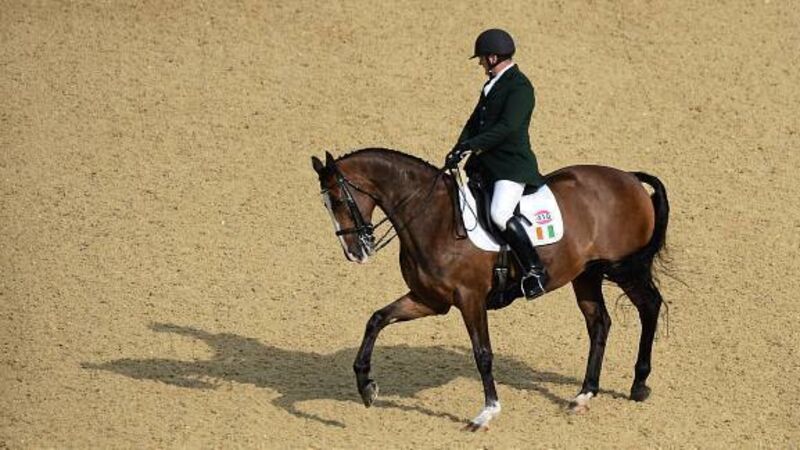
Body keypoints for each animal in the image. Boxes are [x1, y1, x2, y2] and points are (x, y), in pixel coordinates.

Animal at [311, 148, 669, 431]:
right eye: (325, 205)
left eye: (340, 200)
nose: (356, 253)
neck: (434, 219)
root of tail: (629, 178)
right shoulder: (429, 301)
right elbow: (377, 319)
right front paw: (365, 385)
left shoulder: (471, 299)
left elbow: (482, 353)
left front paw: (487, 413)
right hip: (587, 274)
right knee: (599, 323)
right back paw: (584, 394)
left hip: (624, 267)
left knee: (650, 306)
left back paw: (639, 384)